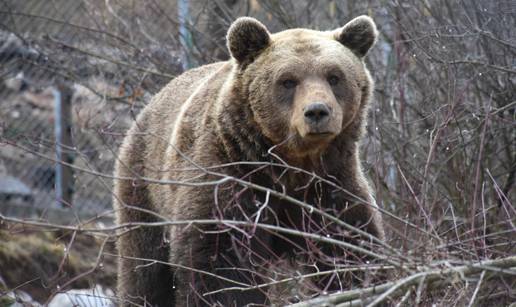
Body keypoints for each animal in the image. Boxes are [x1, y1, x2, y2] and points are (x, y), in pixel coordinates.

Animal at [114, 15, 388, 307]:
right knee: (145, 268)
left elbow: (348, 246)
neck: (291, 165)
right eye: (288, 81)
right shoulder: (231, 177)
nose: (317, 111)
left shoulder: (330, 184)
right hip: (144, 187)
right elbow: (221, 261)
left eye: (334, 77)